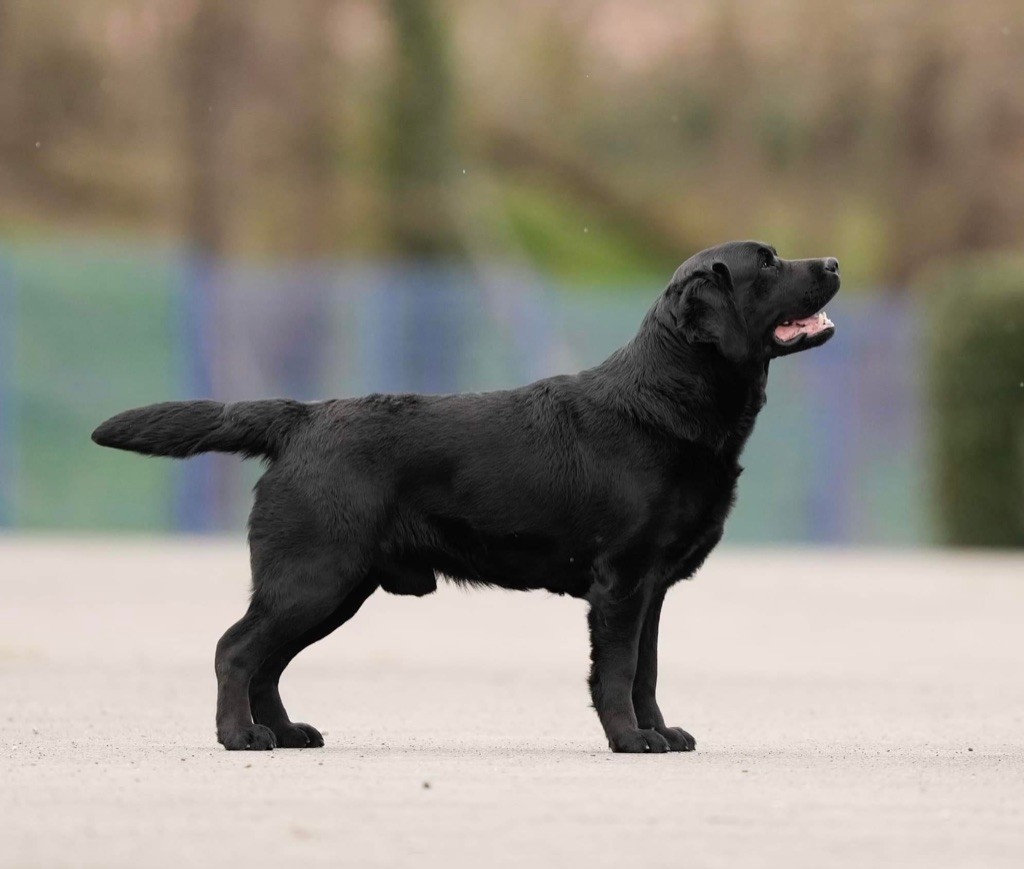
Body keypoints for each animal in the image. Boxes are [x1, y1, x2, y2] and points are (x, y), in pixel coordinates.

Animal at [92, 240, 835, 749]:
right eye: (767, 263)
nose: (830, 261)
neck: (665, 401)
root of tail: (301, 418)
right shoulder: (621, 582)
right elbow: (618, 671)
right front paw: (629, 739)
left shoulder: (651, 588)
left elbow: (646, 670)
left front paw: (660, 733)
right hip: (314, 576)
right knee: (236, 649)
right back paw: (240, 737)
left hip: (337, 587)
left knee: (267, 662)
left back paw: (287, 732)